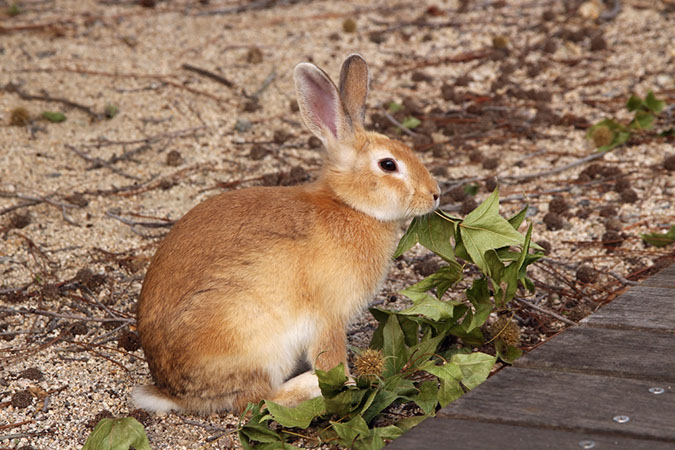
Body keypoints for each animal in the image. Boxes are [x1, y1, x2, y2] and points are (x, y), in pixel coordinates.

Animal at [132, 54, 440, 415]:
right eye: (388, 165)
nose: (435, 194)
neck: (349, 205)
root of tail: (171, 391)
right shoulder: (328, 318)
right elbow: (331, 360)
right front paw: (348, 385)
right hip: (253, 338)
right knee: (259, 399)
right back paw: (309, 387)